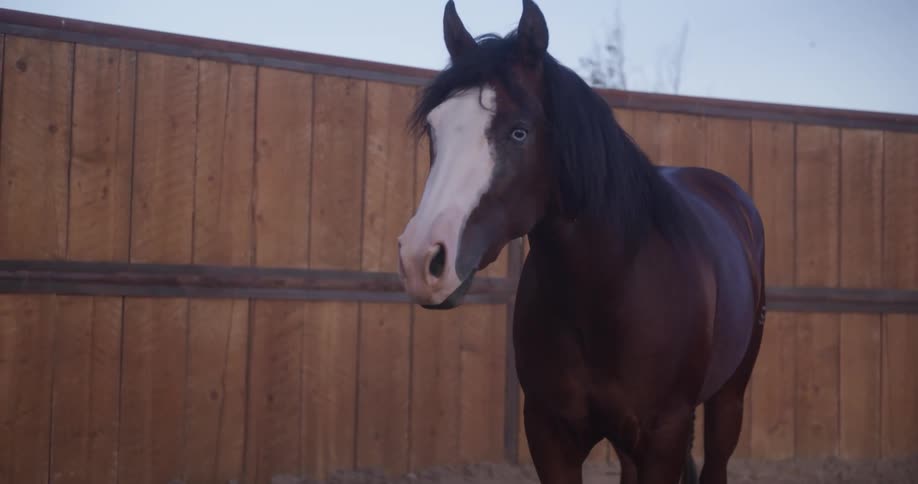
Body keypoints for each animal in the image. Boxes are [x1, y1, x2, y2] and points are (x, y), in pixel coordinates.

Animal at [396, 1, 766, 483]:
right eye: (433, 131)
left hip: (729, 399)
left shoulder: (664, 437)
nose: (422, 259)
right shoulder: (550, 434)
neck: (612, 289)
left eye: (519, 131)